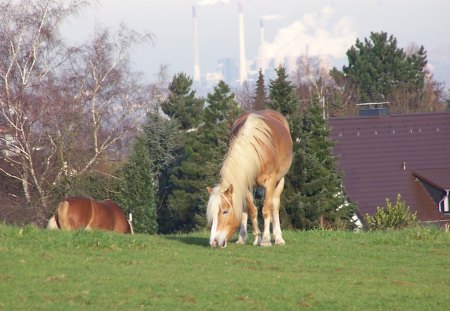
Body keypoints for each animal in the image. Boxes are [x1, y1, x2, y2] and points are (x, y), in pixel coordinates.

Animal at [207, 110, 294, 249]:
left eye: (225, 211)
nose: (214, 242)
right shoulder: (246, 184)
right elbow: (252, 210)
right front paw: (256, 238)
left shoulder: (270, 183)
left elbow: (266, 210)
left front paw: (265, 240)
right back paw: (242, 238)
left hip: (280, 180)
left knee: (274, 205)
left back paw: (278, 238)